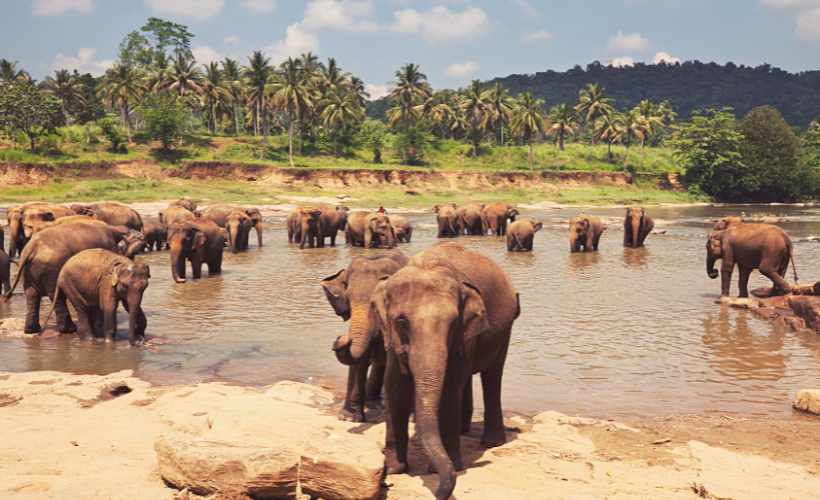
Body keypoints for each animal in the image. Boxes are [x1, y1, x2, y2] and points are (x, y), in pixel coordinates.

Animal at [2, 222, 144, 332]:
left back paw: (31, 330)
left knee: (32, 295)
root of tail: (32, 247)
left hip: (28, 271)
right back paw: (69, 330)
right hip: (52, 269)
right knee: (57, 296)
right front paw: (98, 323)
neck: (114, 229)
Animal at [322, 250, 408, 422]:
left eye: (376, 303)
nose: (342, 337)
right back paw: (370, 397)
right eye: (348, 299)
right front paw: (348, 417)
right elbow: (359, 361)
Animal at [372, 242, 520, 500]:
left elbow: (451, 387)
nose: (438, 493)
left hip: (505, 329)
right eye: (401, 322)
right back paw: (464, 430)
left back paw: (492, 443)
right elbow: (395, 386)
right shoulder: (390, 336)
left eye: (452, 323)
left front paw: (451, 466)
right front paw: (394, 469)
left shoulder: (463, 334)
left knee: (492, 377)